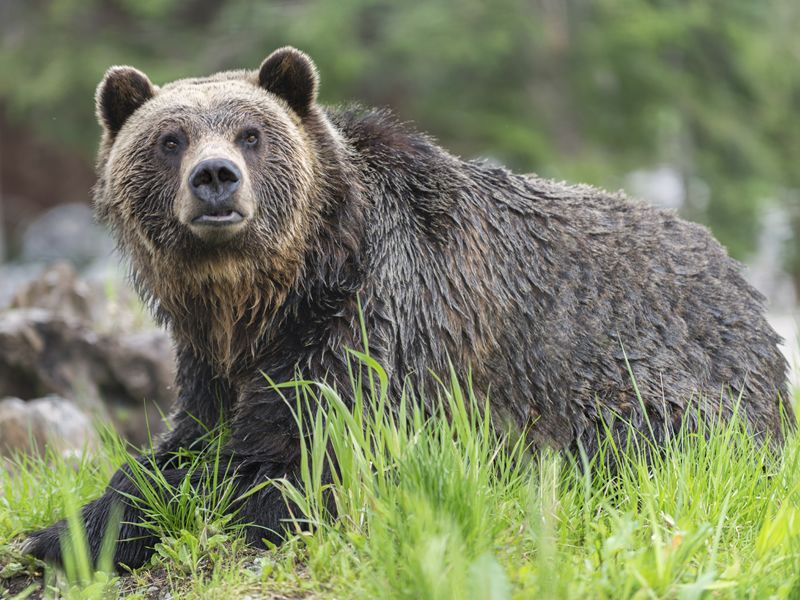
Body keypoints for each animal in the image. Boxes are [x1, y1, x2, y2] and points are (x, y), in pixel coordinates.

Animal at [24, 46, 793, 570]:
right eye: (170, 138)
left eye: (251, 134)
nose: (216, 179)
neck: (271, 296)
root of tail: (746, 291)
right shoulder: (213, 361)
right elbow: (181, 446)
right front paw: (61, 534)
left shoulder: (377, 327)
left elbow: (306, 460)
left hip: (658, 382)